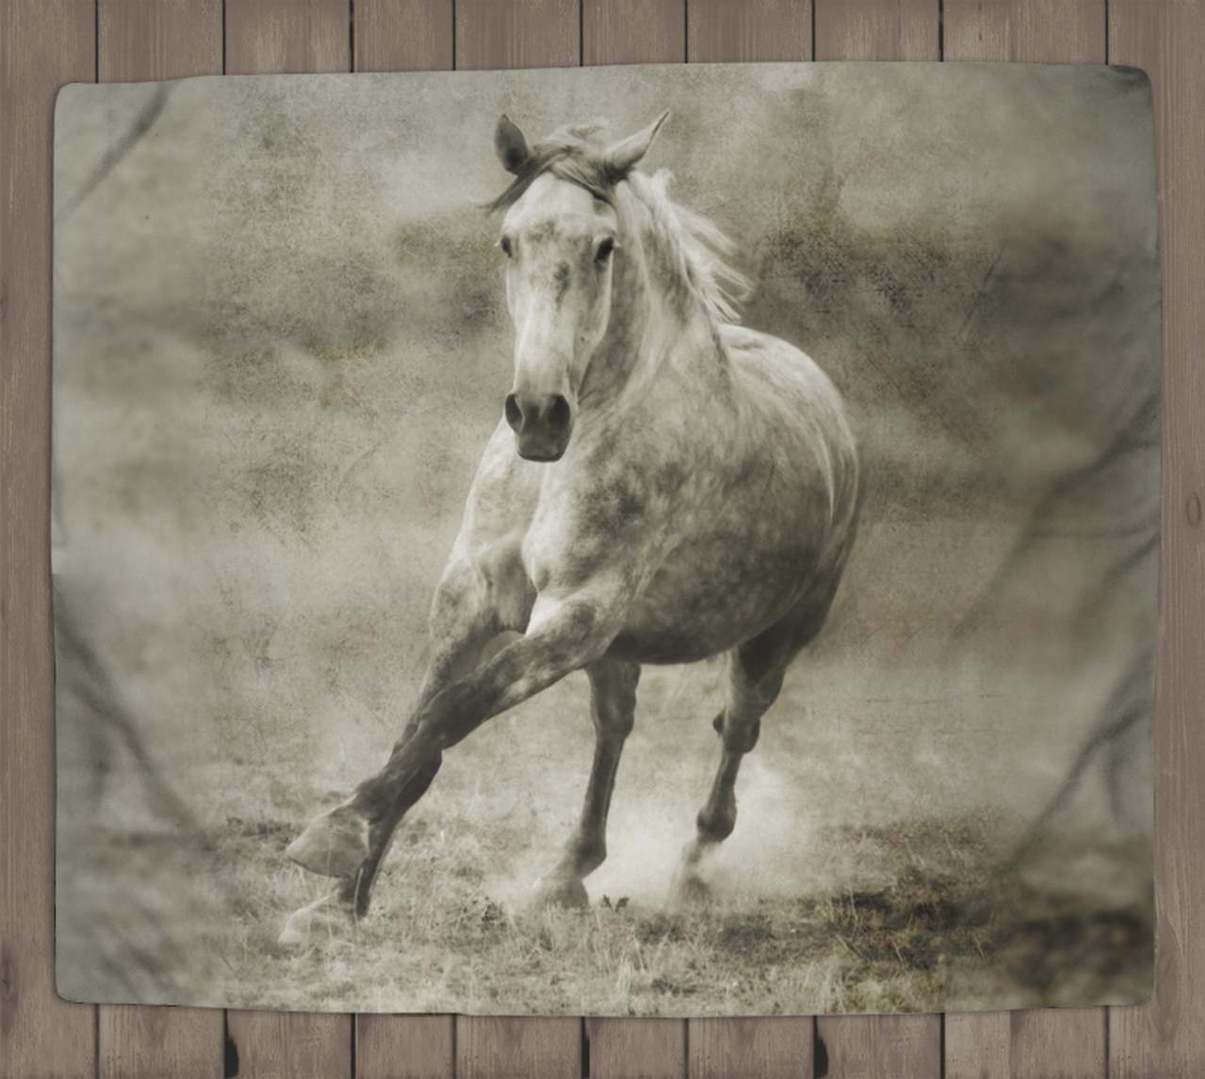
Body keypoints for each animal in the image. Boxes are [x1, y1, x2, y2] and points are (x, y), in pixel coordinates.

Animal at [280, 112, 861, 940]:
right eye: (508, 242)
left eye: (604, 246)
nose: (537, 414)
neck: (566, 456)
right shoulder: (471, 596)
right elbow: (420, 729)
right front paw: (337, 900)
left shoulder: (578, 612)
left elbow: (454, 710)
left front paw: (336, 836)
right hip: (619, 650)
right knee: (613, 728)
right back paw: (565, 875)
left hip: (772, 639)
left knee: (737, 732)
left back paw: (692, 867)